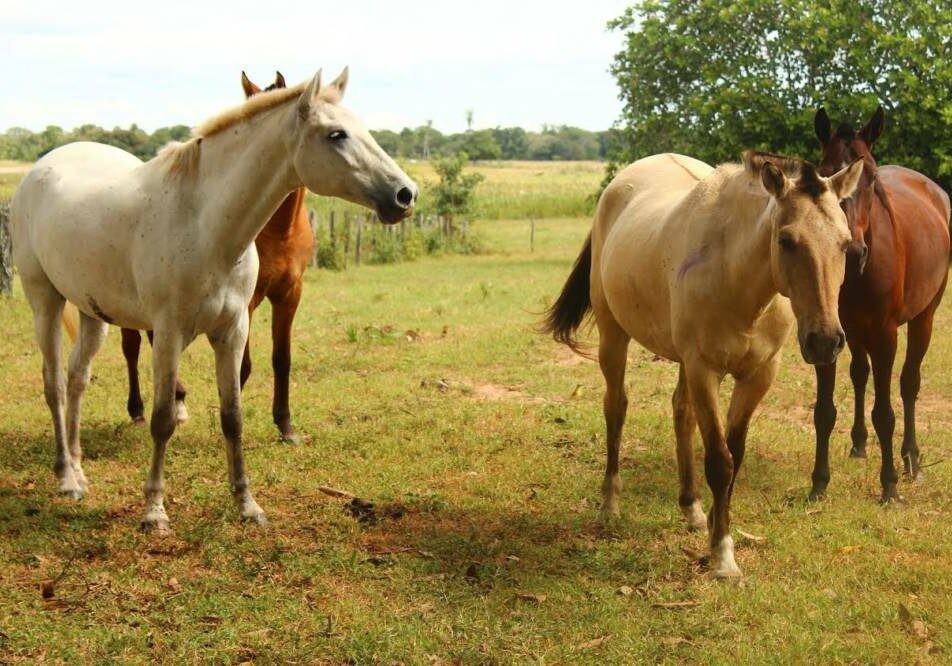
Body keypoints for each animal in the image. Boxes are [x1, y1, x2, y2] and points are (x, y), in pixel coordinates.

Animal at [114, 70, 315, 444]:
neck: (278, 231)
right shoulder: (246, 301)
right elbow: (243, 366)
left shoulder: (289, 294)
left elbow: (282, 359)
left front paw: (286, 425)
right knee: (132, 345)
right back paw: (138, 409)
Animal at [544, 150, 863, 577]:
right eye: (786, 240)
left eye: (845, 245)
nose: (826, 341)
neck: (736, 279)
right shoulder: (704, 369)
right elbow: (719, 460)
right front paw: (723, 557)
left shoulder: (758, 375)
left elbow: (735, 454)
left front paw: (713, 523)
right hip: (615, 337)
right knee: (616, 409)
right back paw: (610, 504)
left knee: (681, 413)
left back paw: (691, 508)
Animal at [808, 107, 951, 502]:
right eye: (825, 172)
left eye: (871, 178)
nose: (853, 251)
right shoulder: (827, 334)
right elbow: (824, 411)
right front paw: (818, 484)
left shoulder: (886, 336)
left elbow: (885, 413)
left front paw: (890, 487)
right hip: (855, 333)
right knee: (860, 374)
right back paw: (859, 445)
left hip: (923, 319)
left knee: (909, 384)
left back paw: (912, 460)